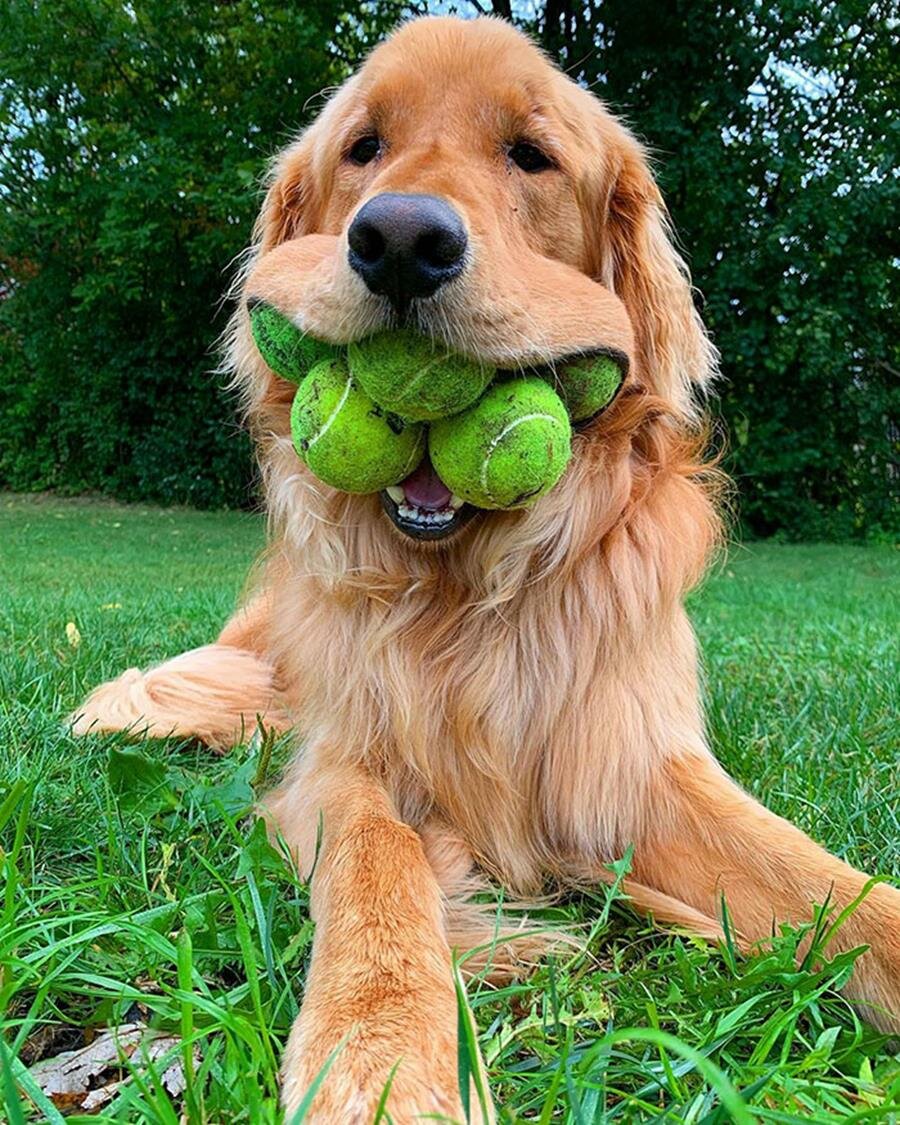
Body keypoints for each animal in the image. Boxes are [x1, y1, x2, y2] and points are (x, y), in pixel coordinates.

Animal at [75, 17, 900, 1125]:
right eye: (364, 147)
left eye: (531, 156)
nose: (400, 242)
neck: (463, 594)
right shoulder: (347, 758)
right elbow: (381, 863)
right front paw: (384, 1055)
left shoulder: (628, 759)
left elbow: (831, 887)